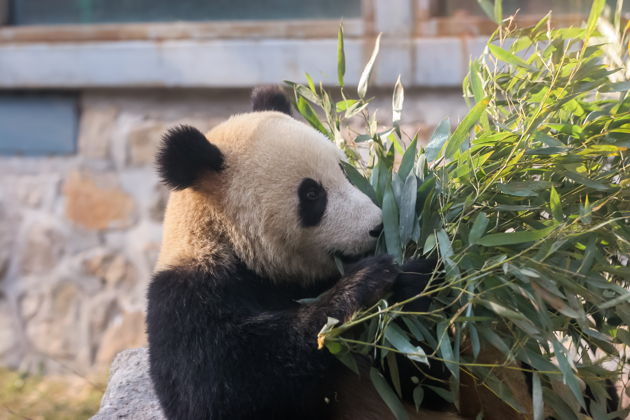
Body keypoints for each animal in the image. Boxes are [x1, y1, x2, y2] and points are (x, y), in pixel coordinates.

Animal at [148, 86, 464, 420]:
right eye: (312, 194)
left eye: (346, 173)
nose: (378, 227)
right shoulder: (187, 296)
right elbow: (220, 388)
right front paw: (367, 282)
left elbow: (425, 380)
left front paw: (415, 280)